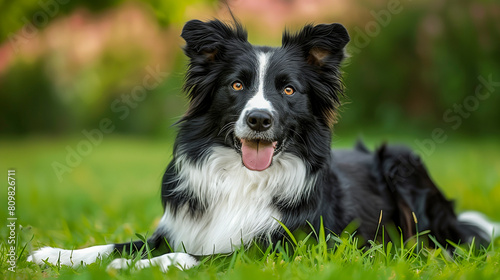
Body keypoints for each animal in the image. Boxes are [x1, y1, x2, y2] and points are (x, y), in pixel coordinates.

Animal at [29, 19, 498, 272]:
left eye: (288, 90)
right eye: (237, 85)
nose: (259, 119)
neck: (241, 177)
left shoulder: (281, 249)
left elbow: (199, 257)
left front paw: (138, 268)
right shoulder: (178, 227)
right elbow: (114, 243)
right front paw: (57, 254)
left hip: (402, 161)